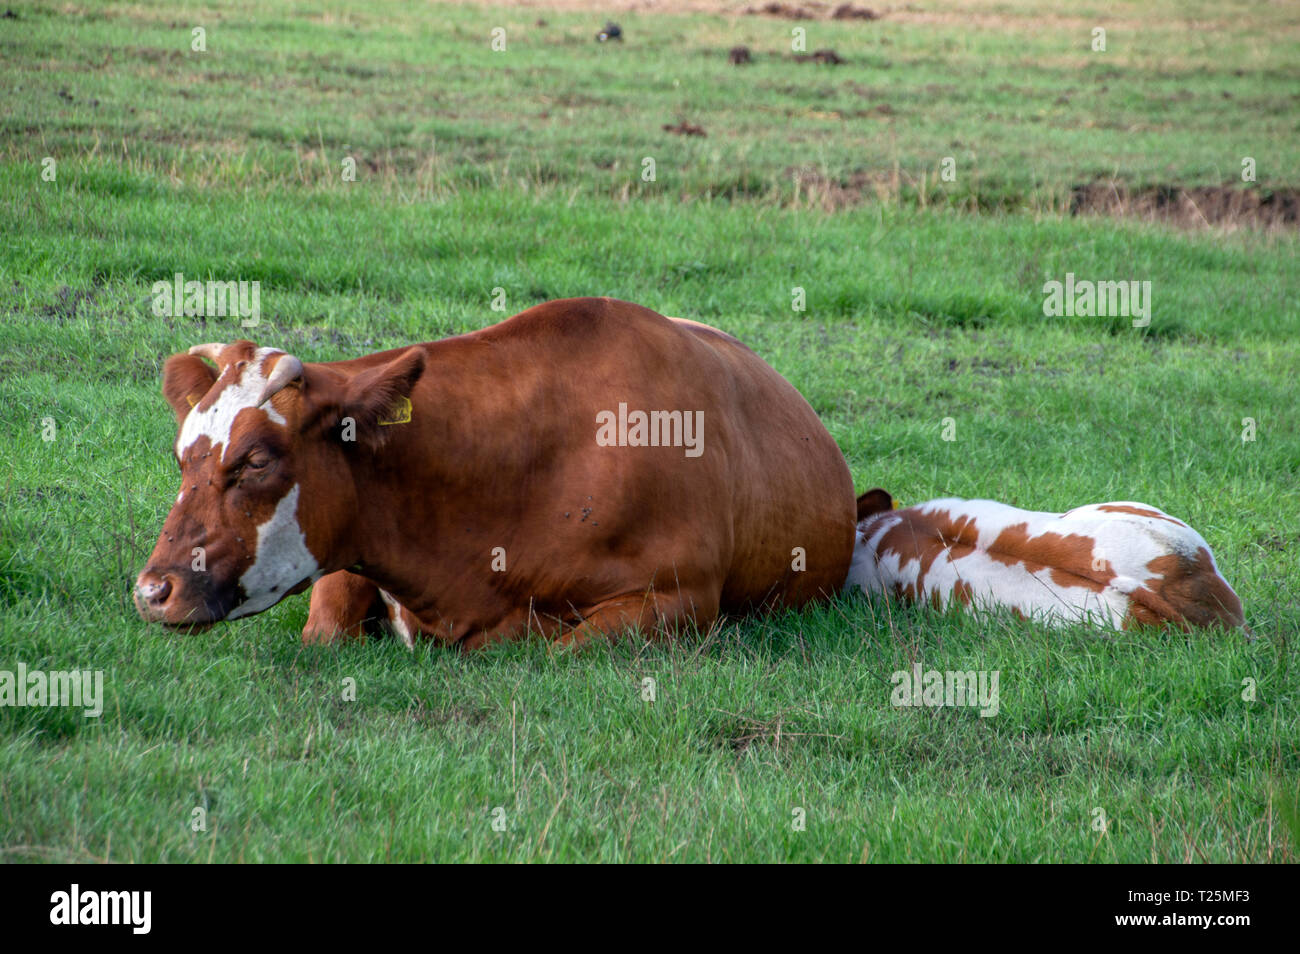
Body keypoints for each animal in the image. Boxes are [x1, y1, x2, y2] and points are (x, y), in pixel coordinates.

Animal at [137, 298, 857, 649]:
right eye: (181, 457)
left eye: (257, 460)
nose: (152, 591)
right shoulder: (347, 541)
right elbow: (326, 632)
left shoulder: (680, 598)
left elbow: (561, 648)